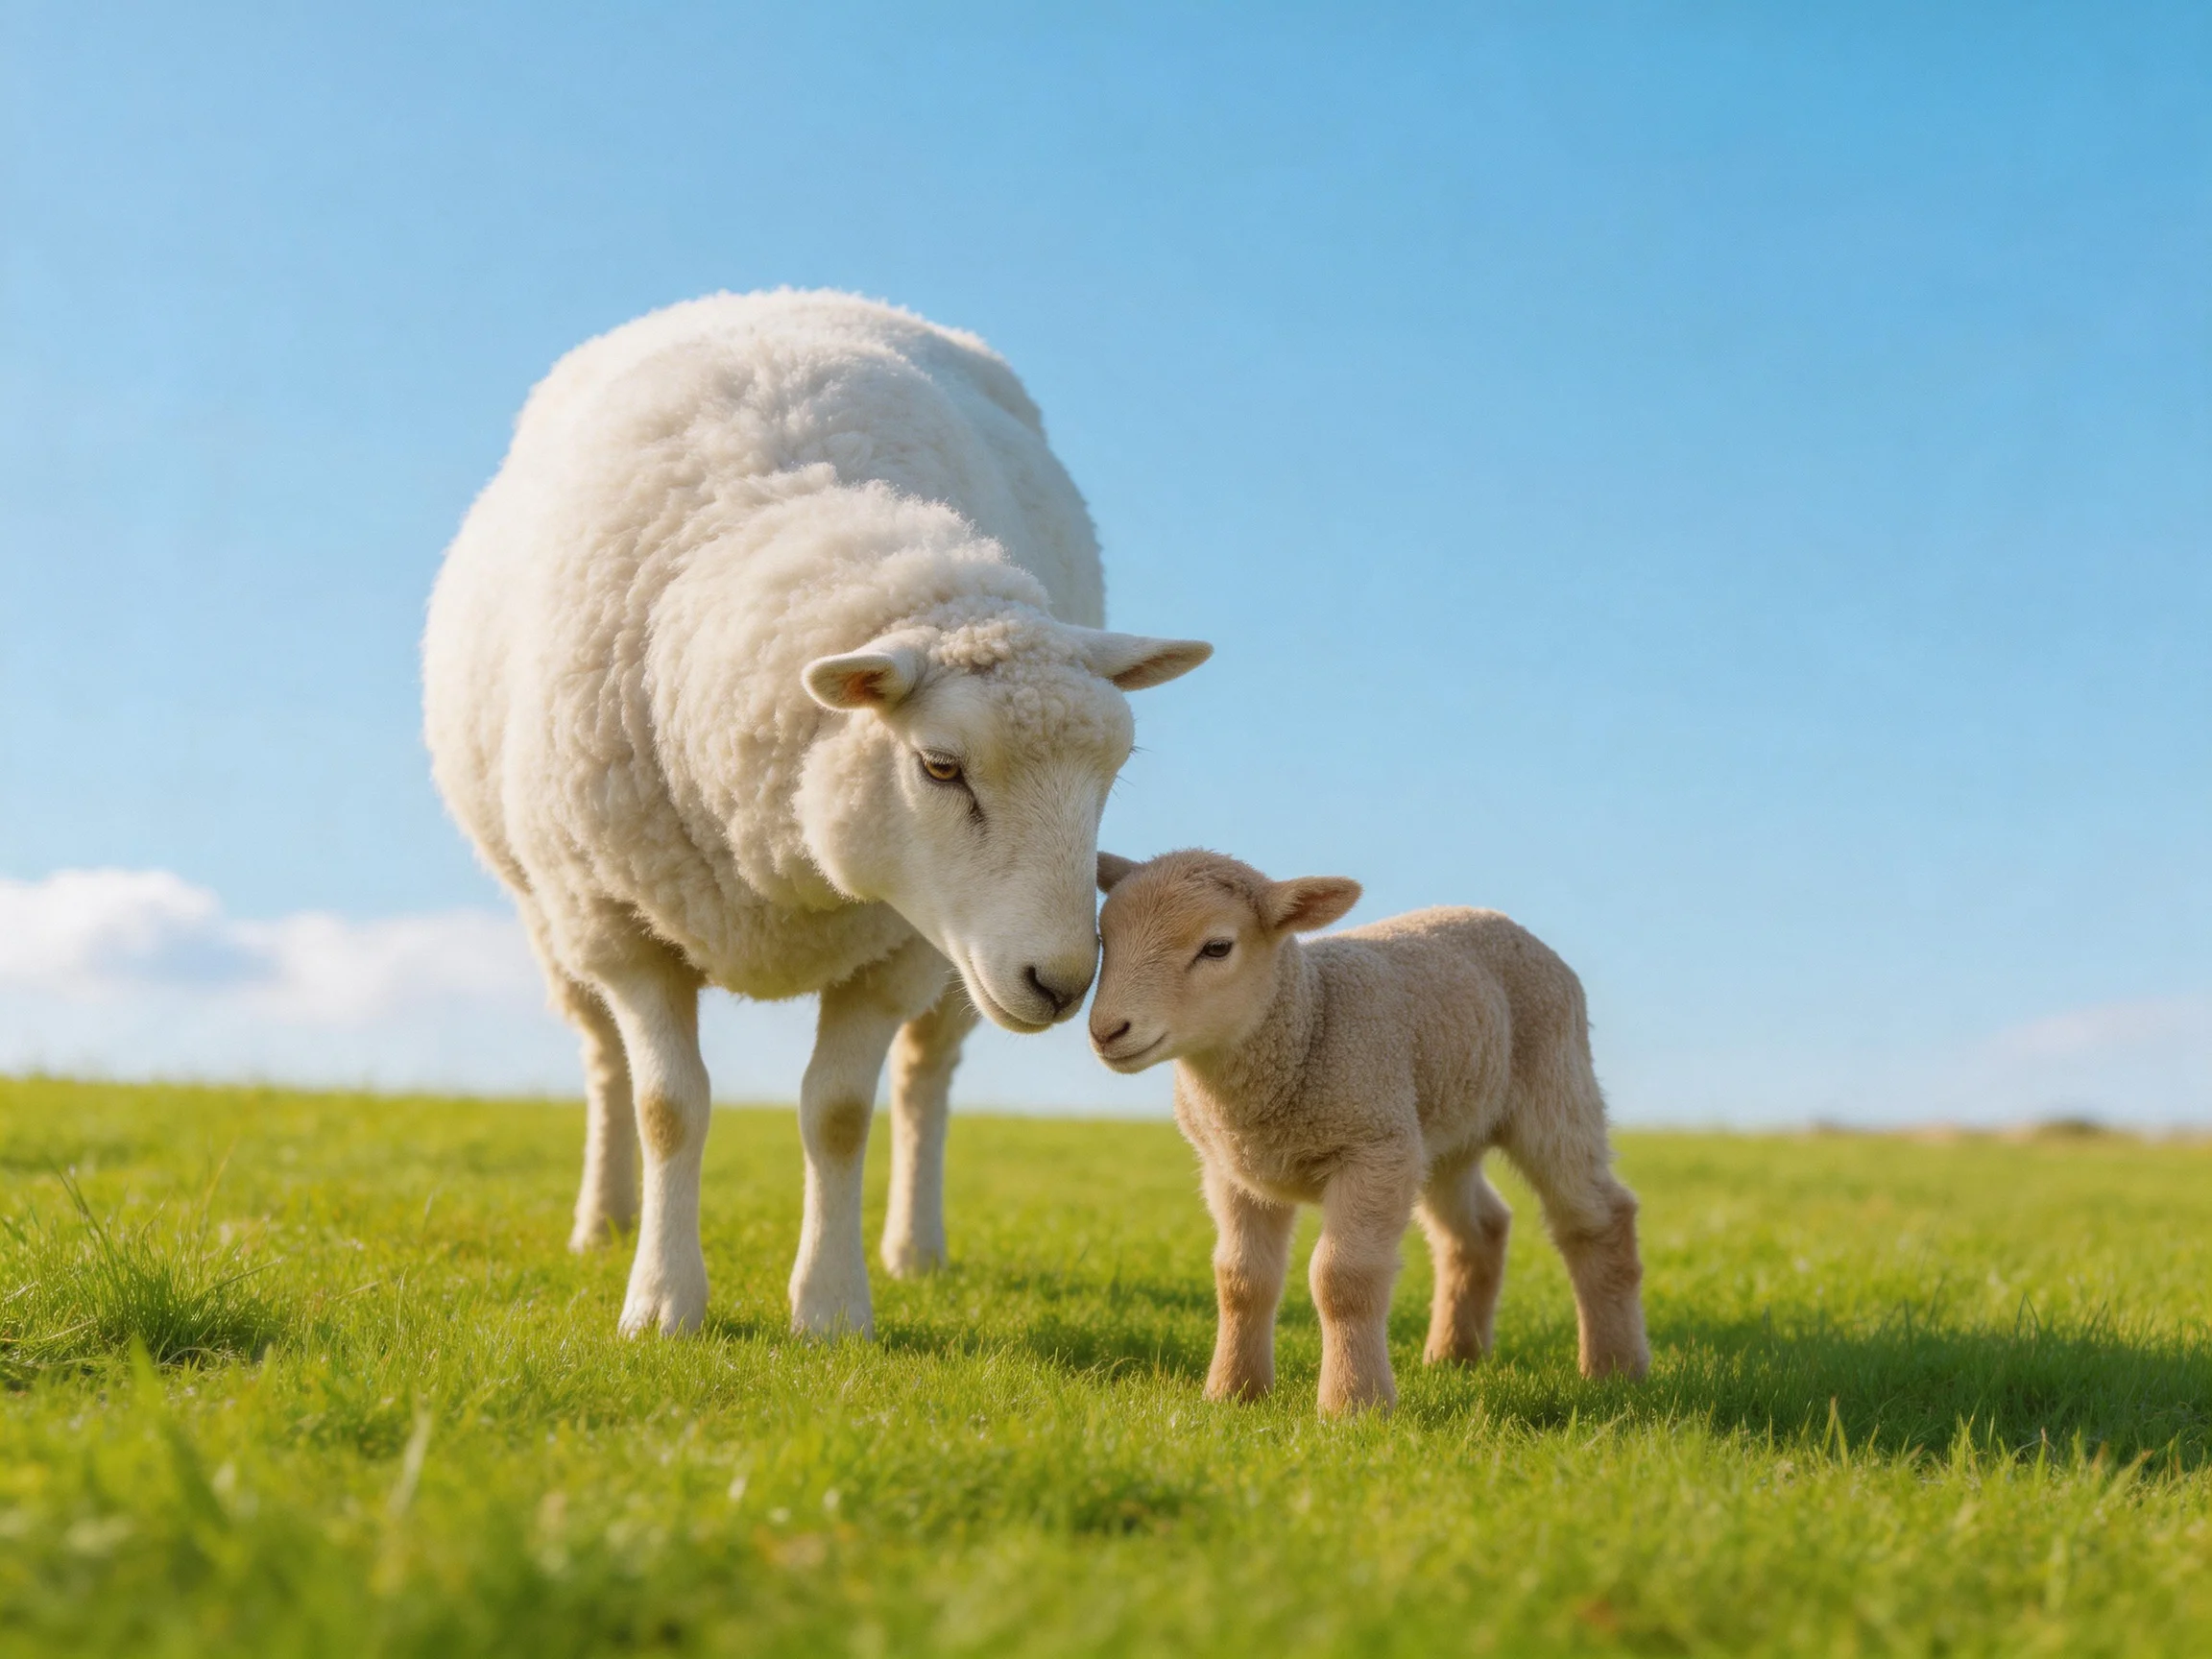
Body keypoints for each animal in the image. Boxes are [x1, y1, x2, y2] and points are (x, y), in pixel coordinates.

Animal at [422, 290, 1210, 1340]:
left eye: (1113, 773)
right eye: (939, 765)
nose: (1063, 981)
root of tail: (767, 295)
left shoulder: (897, 949)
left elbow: (838, 1114)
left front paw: (832, 1306)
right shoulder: (619, 923)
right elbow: (668, 1105)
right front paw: (662, 1302)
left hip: (955, 966)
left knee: (924, 1083)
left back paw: (915, 1249)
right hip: (557, 917)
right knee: (605, 1064)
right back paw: (605, 1222)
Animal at [1089, 849, 1649, 1414]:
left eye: (1217, 947)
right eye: (1103, 939)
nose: (1106, 1031)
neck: (1310, 1017)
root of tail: (1495, 917)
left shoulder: (1371, 1149)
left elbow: (1343, 1278)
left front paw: (1353, 1404)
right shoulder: (1233, 1170)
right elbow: (1241, 1279)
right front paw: (1234, 1393)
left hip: (1553, 1085)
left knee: (1596, 1216)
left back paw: (1615, 1368)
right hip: (1436, 1130)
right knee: (1476, 1230)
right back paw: (1454, 1355)